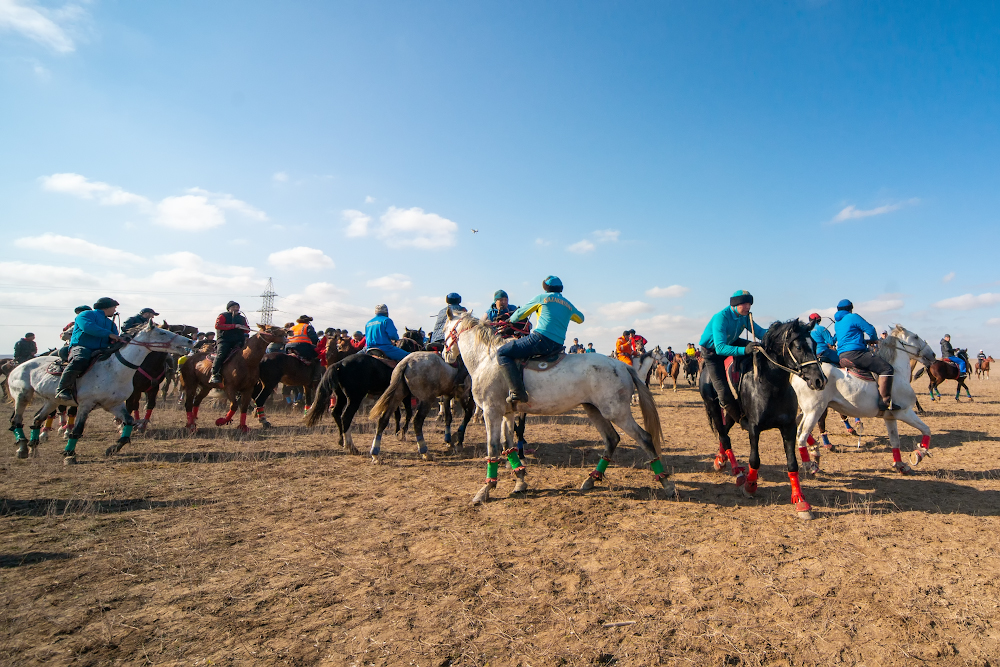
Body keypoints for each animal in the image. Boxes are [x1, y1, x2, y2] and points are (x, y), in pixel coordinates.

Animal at [6, 324, 192, 464]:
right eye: (162, 332)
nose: (190, 340)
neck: (115, 369)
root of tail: (18, 366)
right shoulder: (85, 404)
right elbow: (78, 430)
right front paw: (69, 454)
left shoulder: (115, 404)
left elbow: (129, 422)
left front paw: (113, 448)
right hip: (22, 396)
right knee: (17, 420)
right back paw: (23, 447)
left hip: (51, 400)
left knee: (37, 419)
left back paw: (33, 447)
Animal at [442, 314, 668, 506]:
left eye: (444, 329)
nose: (445, 355)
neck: (486, 358)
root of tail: (622, 367)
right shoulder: (507, 413)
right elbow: (509, 446)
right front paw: (520, 481)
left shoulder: (491, 411)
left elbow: (493, 447)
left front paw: (486, 489)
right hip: (594, 410)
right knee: (612, 439)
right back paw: (592, 479)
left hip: (616, 413)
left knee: (644, 438)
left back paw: (666, 483)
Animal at [700, 320, 824, 520]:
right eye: (798, 346)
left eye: (814, 344)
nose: (820, 380)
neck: (772, 386)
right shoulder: (754, 428)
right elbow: (754, 460)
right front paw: (750, 486)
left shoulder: (788, 427)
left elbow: (792, 464)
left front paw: (801, 501)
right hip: (714, 405)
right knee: (724, 436)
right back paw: (737, 473)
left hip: (731, 413)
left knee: (724, 432)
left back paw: (720, 460)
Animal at [788, 324, 936, 474]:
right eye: (916, 337)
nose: (933, 355)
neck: (897, 373)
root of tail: (799, 373)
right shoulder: (904, 413)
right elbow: (926, 429)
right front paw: (919, 454)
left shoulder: (890, 417)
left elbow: (895, 441)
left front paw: (900, 465)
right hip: (815, 411)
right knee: (802, 436)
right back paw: (811, 463)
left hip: (807, 411)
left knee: (798, 429)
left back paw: (815, 450)